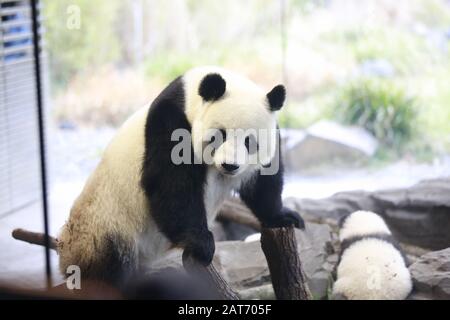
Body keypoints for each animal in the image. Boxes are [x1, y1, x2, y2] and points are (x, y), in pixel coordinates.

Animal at [56, 65, 302, 288]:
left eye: (250, 141)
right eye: (220, 135)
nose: (230, 165)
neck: (189, 95)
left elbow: (263, 182)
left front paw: (285, 217)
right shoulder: (170, 121)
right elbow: (172, 183)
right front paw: (202, 243)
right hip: (105, 225)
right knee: (110, 262)